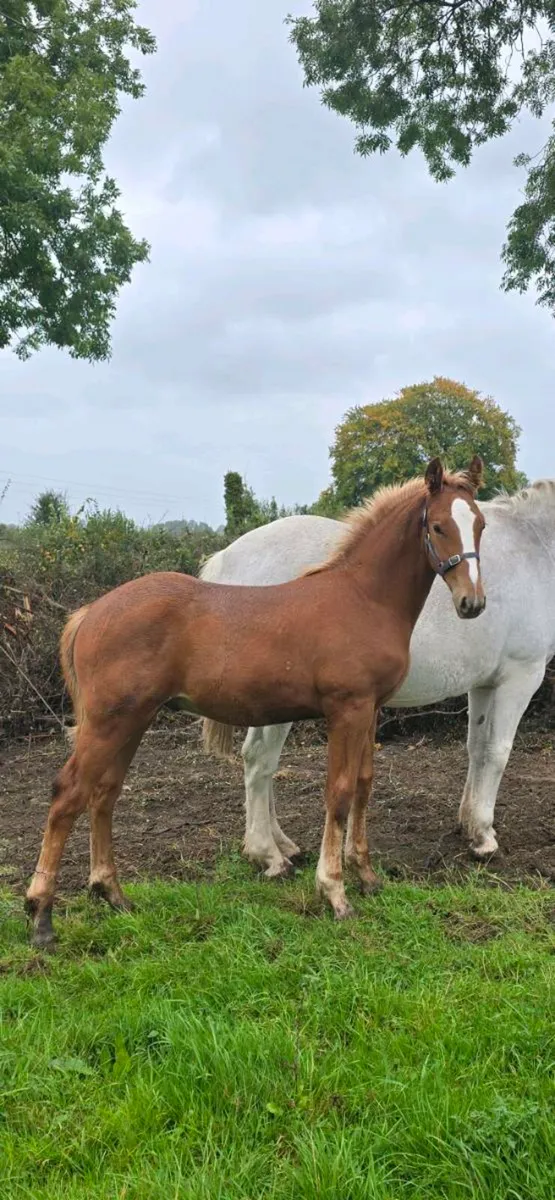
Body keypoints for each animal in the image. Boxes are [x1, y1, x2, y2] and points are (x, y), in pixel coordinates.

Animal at [25, 457, 485, 947]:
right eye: (437, 526)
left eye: (479, 524)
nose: (472, 603)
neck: (364, 599)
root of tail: (90, 612)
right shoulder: (347, 709)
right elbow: (339, 793)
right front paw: (335, 893)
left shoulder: (371, 710)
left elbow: (363, 784)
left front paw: (367, 876)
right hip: (108, 722)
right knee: (67, 794)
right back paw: (41, 916)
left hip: (133, 720)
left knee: (104, 793)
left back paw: (112, 894)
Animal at [201, 478, 555, 878]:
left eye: (481, 527)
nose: (474, 603)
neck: (535, 546)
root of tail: (228, 556)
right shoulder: (521, 676)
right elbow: (498, 752)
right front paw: (484, 836)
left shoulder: (483, 684)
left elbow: (477, 748)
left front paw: (468, 824)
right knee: (261, 760)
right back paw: (268, 853)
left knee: (256, 760)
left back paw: (280, 844)